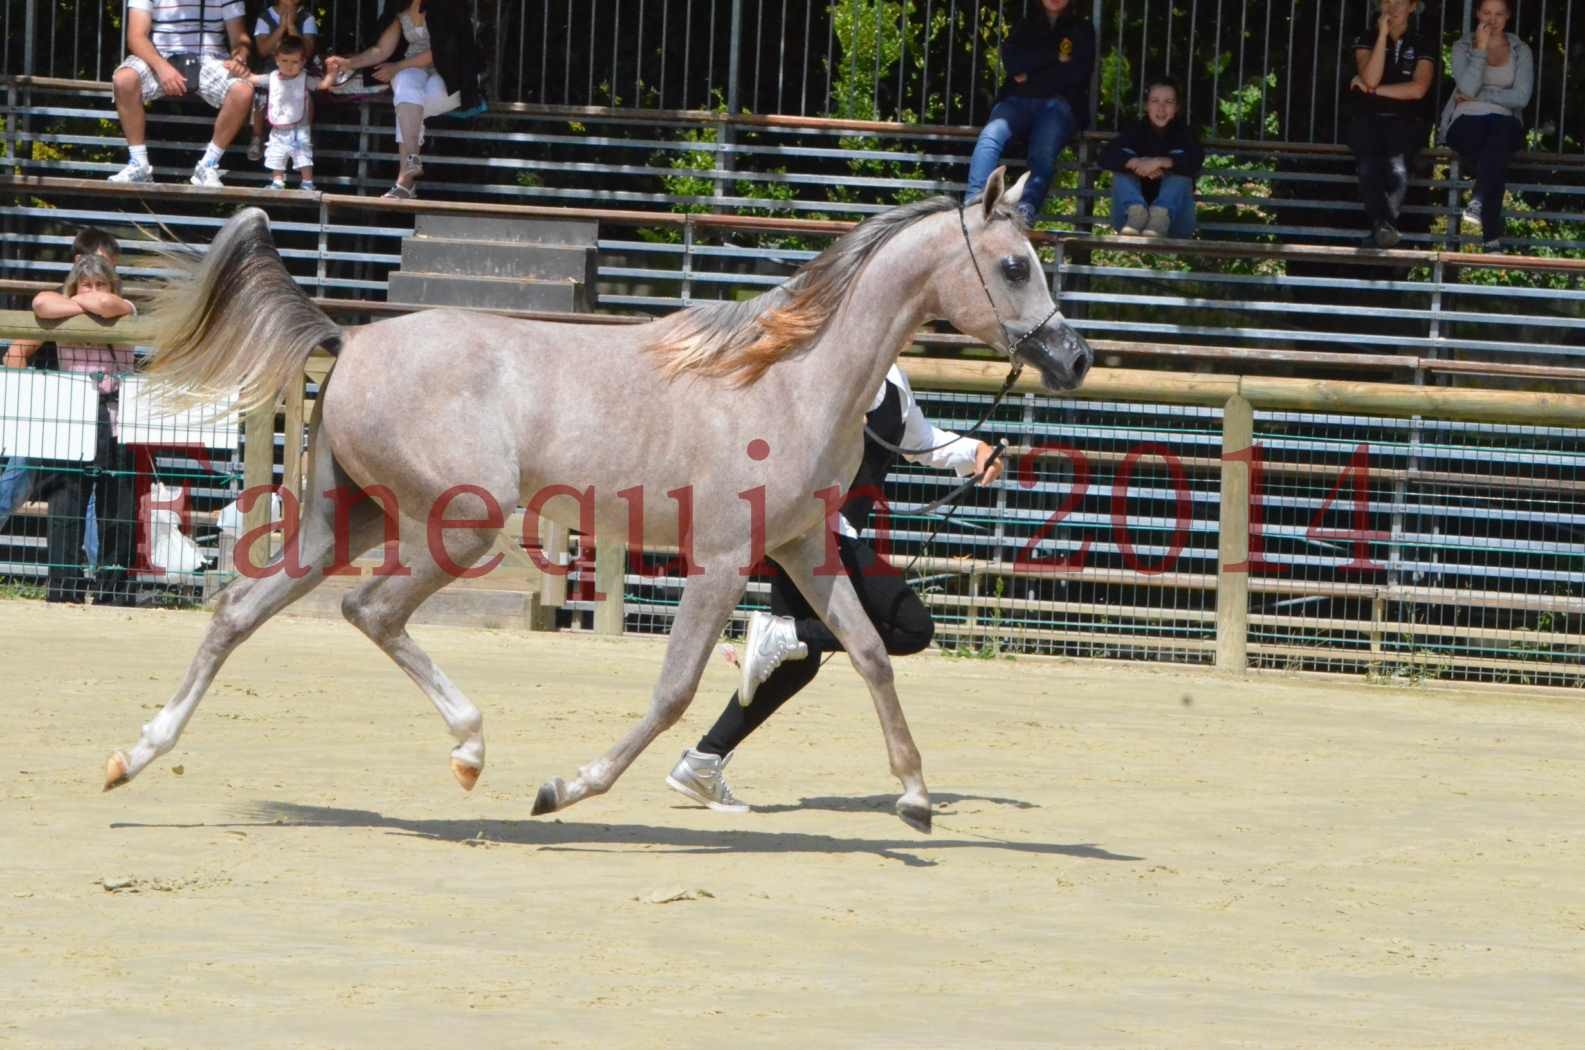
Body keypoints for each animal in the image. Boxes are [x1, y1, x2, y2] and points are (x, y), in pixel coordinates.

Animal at [102, 168, 1090, 837]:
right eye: (1013, 266)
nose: (1073, 358)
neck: (789, 376)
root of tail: (349, 341)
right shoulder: (723, 561)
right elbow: (675, 689)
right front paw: (565, 789)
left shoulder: (805, 549)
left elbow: (871, 654)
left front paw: (916, 799)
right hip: (459, 525)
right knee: (371, 610)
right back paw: (471, 754)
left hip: (343, 517)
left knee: (239, 611)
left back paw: (132, 757)